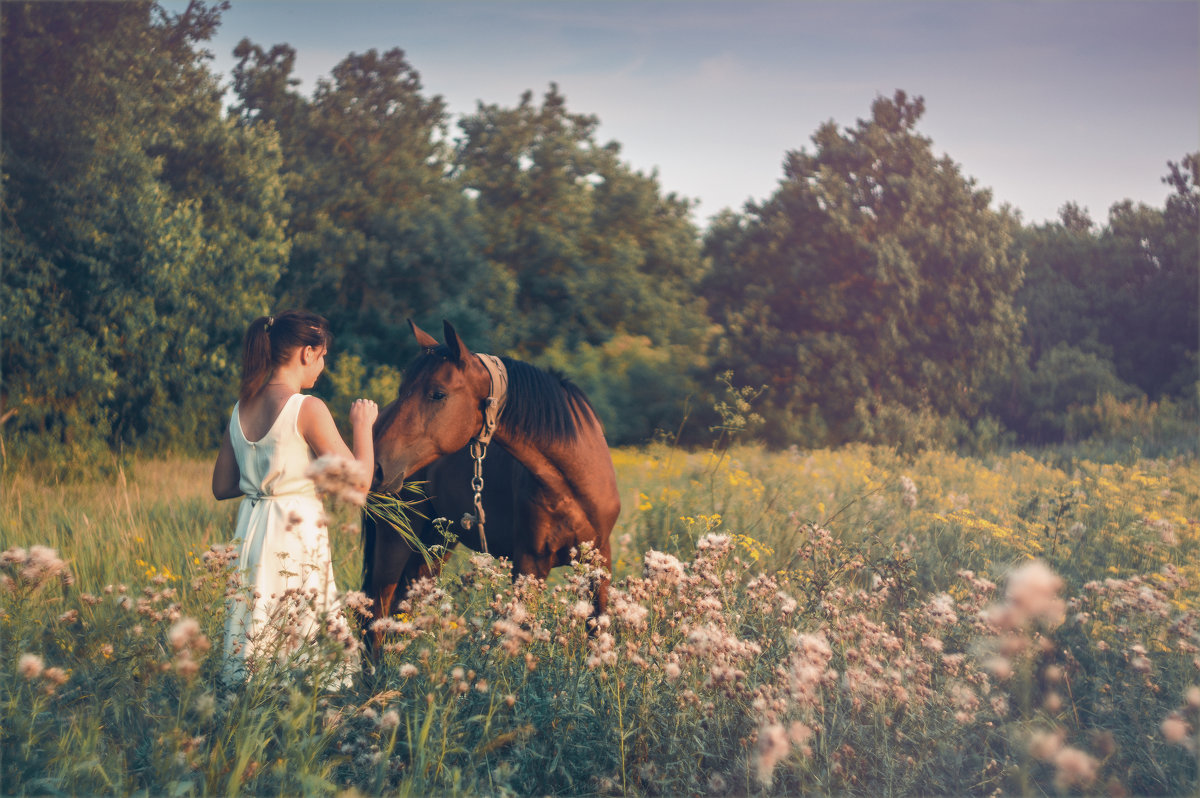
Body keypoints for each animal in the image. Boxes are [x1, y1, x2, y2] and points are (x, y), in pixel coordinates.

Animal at [367, 321, 624, 624]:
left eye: (438, 393)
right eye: (402, 389)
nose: (376, 467)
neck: (574, 483)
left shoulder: (599, 561)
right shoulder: (529, 564)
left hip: (435, 543)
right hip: (396, 537)